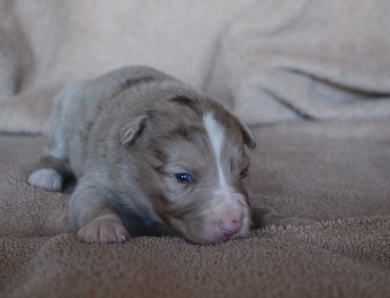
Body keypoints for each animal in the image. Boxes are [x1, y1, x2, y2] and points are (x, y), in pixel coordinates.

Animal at [27, 66, 310, 244]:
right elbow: (89, 200)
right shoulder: (104, 171)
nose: (232, 222)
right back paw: (45, 176)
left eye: (243, 172)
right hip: (63, 113)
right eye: (182, 177)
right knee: (54, 153)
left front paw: (283, 219)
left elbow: (257, 207)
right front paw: (102, 227)